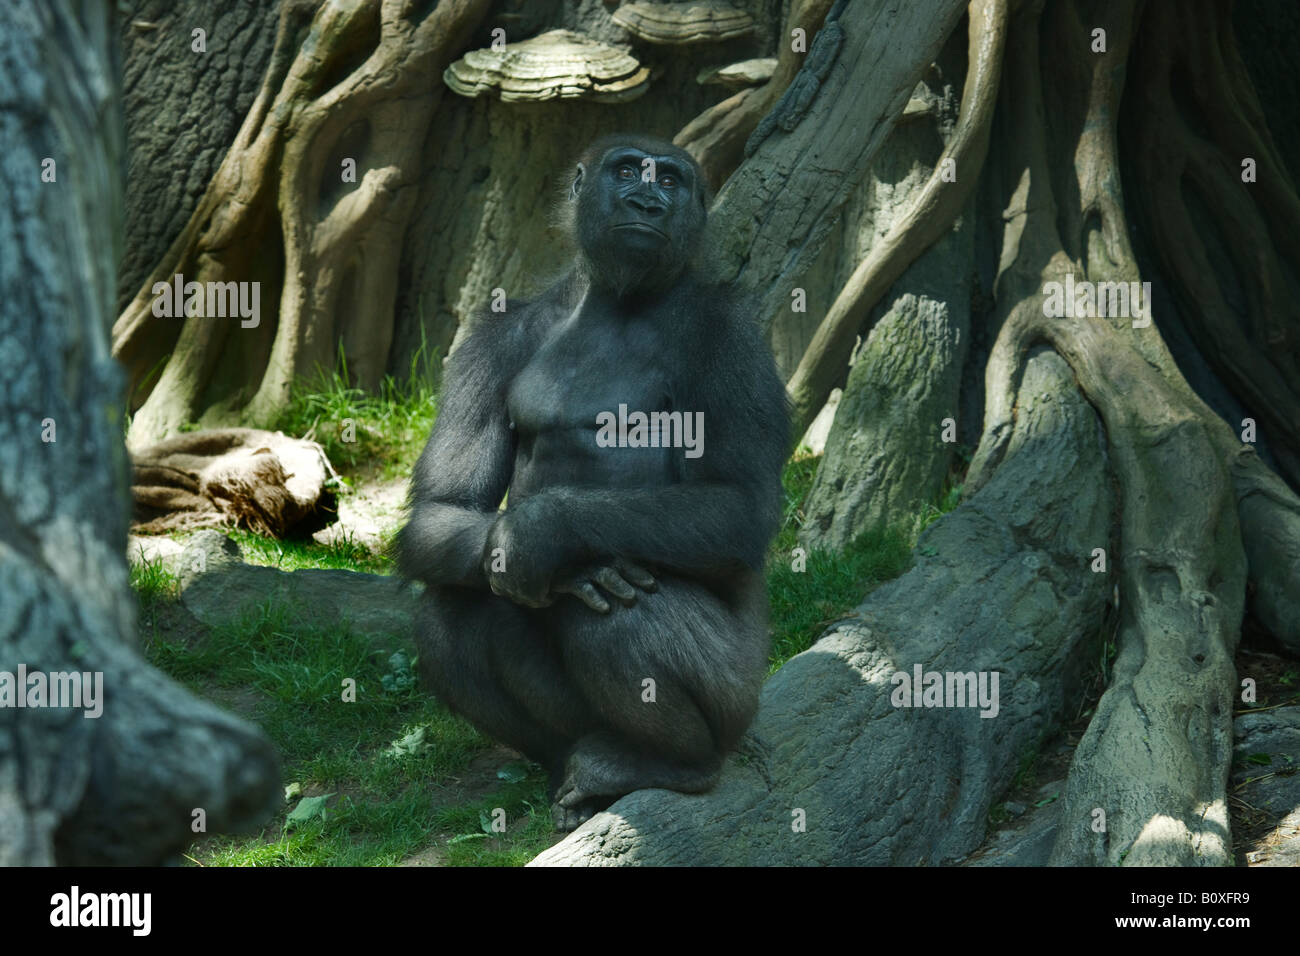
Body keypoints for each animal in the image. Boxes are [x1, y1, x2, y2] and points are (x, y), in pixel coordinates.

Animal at [397, 134, 790, 831]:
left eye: (672, 181)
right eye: (629, 171)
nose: (648, 202)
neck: (613, 296)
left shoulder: (733, 335)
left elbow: (738, 503)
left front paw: (544, 533)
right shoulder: (492, 337)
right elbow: (446, 509)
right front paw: (541, 551)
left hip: (742, 700)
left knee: (620, 618)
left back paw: (678, 765)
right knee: (458, 603)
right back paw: (575, 765)